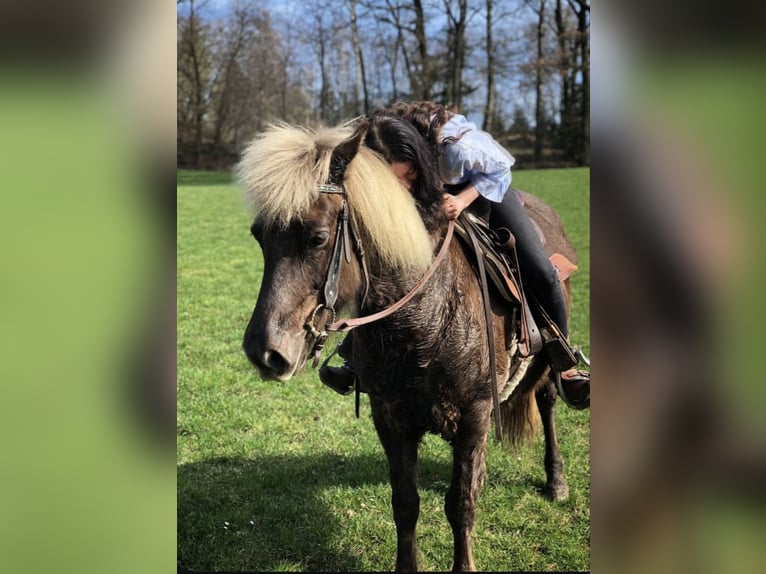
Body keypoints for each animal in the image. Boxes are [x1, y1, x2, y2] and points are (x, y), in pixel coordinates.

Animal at [239, 122, 579, 572]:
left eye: (317, 238)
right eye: (258, 236)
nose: (264, 351)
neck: (423, 323)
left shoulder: (474, 416)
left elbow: (461, 505)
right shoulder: (389, 418)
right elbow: (405, 503)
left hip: (546, 363)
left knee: (548, 401)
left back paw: (556, 480)